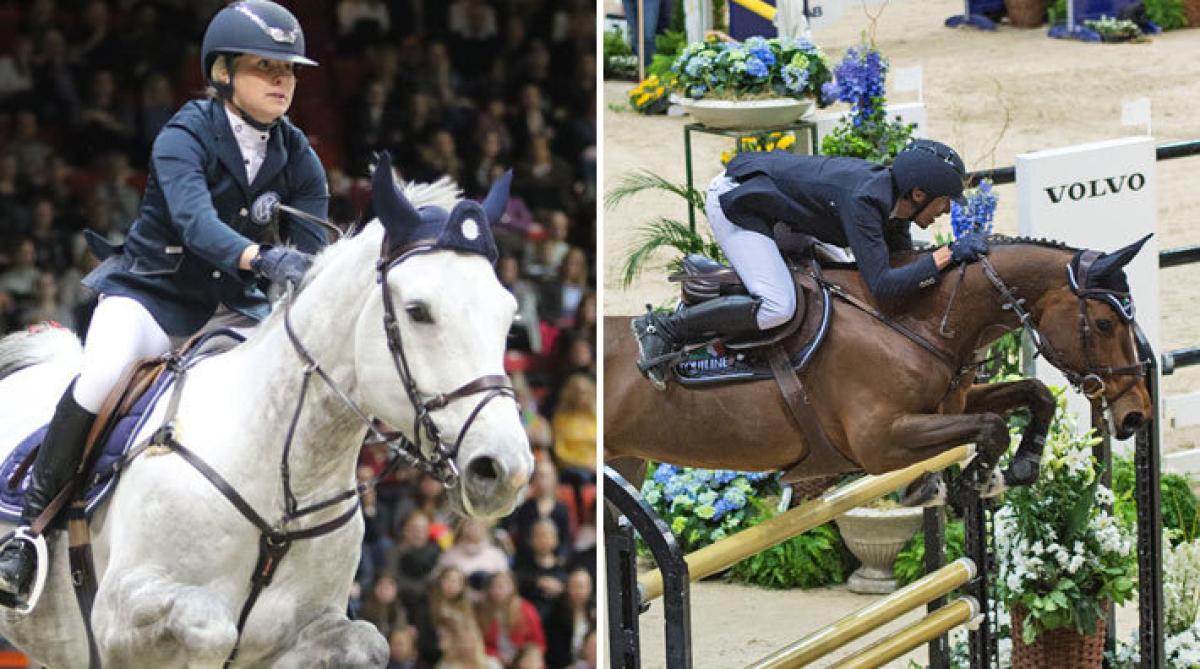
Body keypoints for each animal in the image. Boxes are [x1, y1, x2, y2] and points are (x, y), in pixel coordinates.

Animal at [0, 152, 533, 668]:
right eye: (418, 311)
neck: (285, 485)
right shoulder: (117, 616)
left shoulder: (315, 626)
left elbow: (367, 644)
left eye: (508, 315)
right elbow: (211, 628)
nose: (503, 471)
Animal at [605, 237, 1153, 502]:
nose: (1136, 416)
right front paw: (967, 484)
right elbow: (992, 427)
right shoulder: (879, 442)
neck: (917, 319)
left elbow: (1034, 393)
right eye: (1105, 323)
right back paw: (655, 336)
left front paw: (1019, 467)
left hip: (630, 462)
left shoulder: (948, 403)